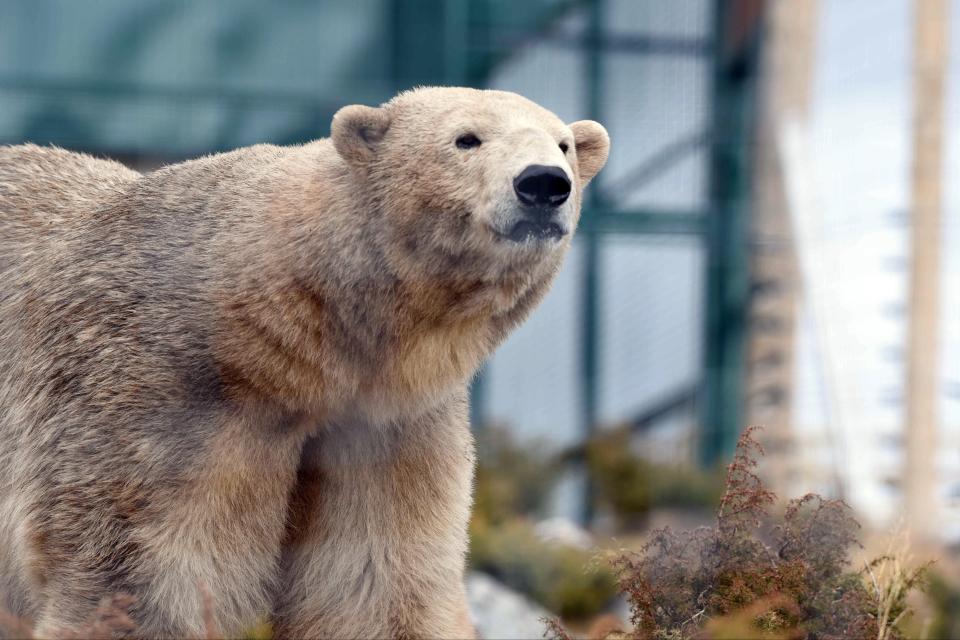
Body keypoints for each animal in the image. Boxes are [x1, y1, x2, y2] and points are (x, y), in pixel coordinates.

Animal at [0, 87, 608, 636]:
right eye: (466, 138)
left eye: (564, 144)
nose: (544, 183)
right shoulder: (154, 391)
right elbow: (137, 575)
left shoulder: (383, 426)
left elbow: (372, 583)